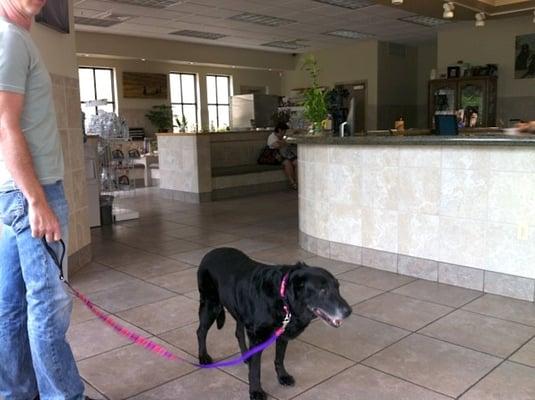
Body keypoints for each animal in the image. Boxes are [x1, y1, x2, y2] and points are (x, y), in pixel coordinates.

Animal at [197, 247, 352, 400]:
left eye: (337, 287)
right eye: (323, 291)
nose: (349, 311)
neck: (283, 298)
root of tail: (210, 253)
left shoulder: (282, 334)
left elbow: (279, 358)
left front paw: (282, 376)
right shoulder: (257, 337)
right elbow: (255, 370)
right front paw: (256, 391)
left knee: (238, 333)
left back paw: (246, 355)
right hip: (210, 305)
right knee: (201, 331)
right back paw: (203, 356)